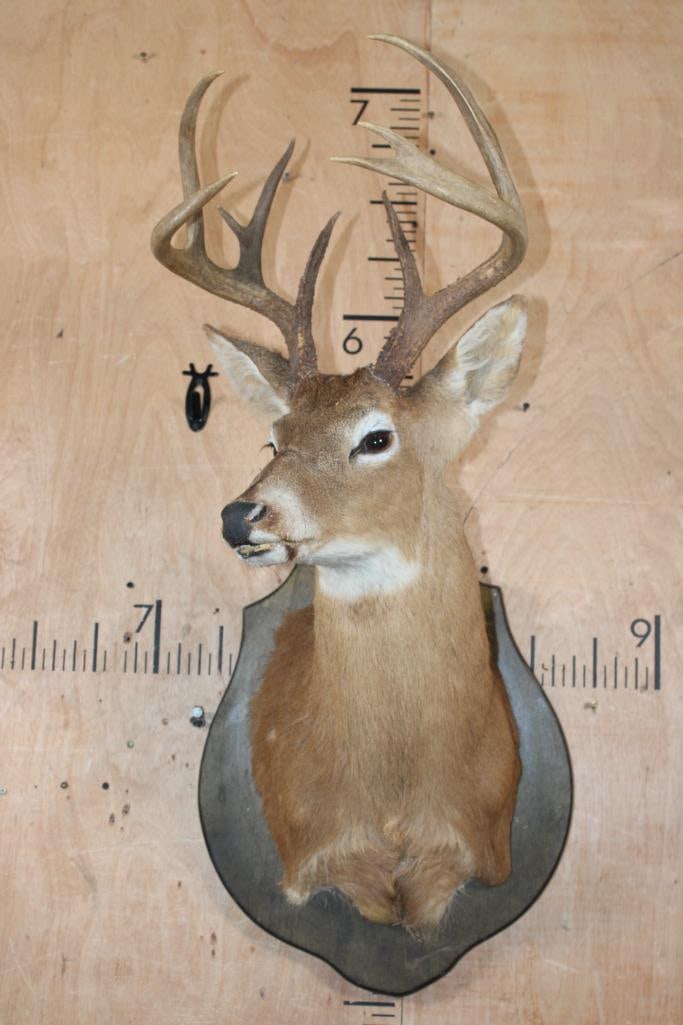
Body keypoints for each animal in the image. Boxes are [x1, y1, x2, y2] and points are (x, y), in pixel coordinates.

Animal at [151, 35, 527, 931]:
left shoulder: (467, 860)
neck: (392, 798)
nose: (241, 514)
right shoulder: (316, 861)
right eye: (273, 436)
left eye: (375, 436)